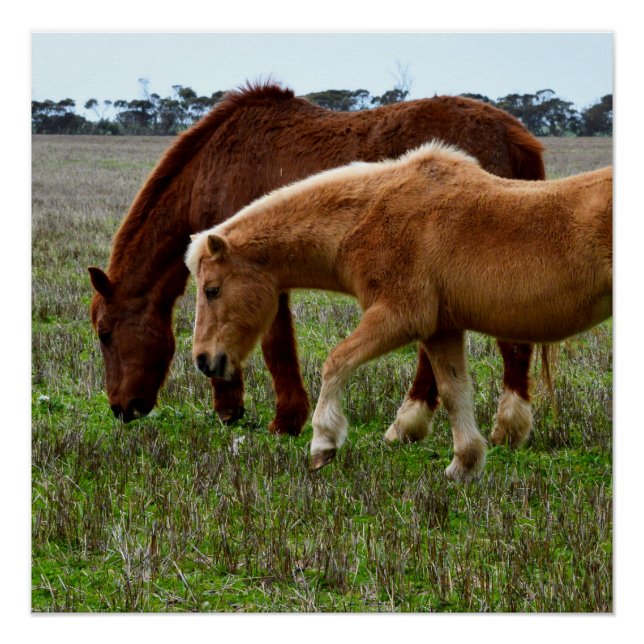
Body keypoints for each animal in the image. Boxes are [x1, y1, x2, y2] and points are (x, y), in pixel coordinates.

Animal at [88, 82, 545, 448]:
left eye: (105, 333)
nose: (120, 408)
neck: (214, 167)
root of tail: (513, 134)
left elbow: (275, 345)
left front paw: (283, 418)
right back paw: (413, 423)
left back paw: (502, 425)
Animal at [186, 141, 612, 481]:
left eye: (212, 289)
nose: (204, 360)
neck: (370, 215)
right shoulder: (441, 330)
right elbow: (454, 391)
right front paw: (464, 464)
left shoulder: (398, 317)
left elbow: (336, 362)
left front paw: (323, 443)